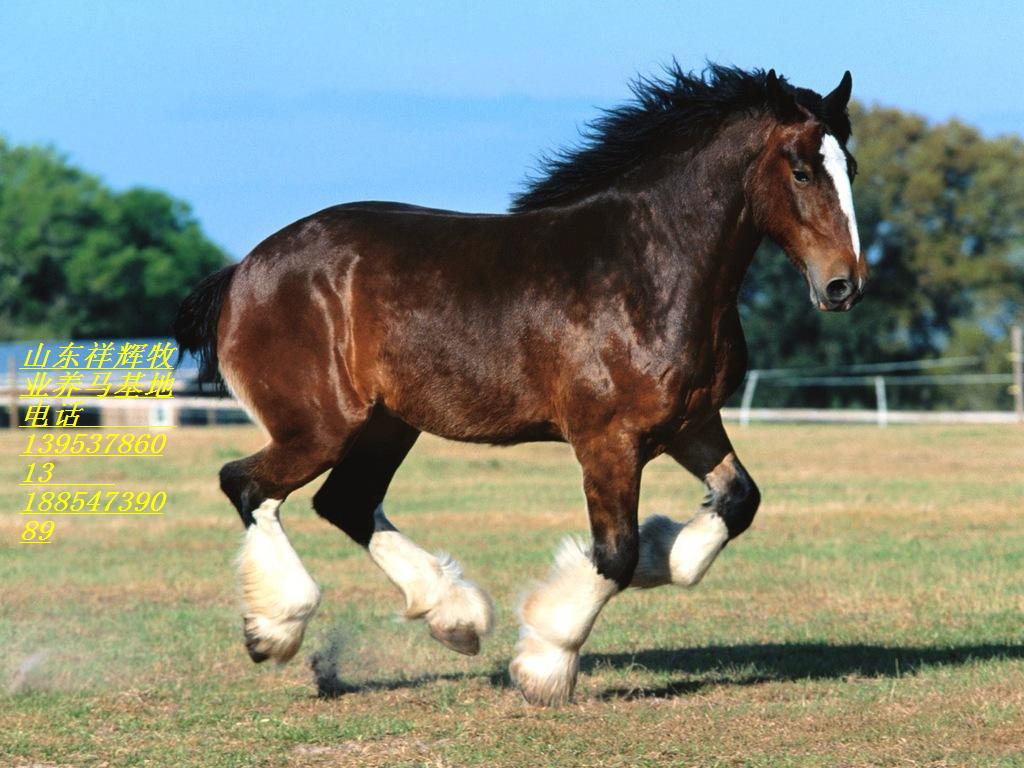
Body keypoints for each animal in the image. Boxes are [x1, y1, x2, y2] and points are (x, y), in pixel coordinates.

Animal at [174, 63, 864, 708]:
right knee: (248, 485)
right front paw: (545, 663)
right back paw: (274, 629)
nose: (843, 285)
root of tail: (243, 272)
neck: (649, 270)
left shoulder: (691, 424)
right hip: (322, 427)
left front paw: (661, 551)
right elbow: (614, 553)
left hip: (386, 425)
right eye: (802, 171)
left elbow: (736, 502)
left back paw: (454, 616)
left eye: (849, 164)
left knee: (343, 501)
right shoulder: (608, 441)